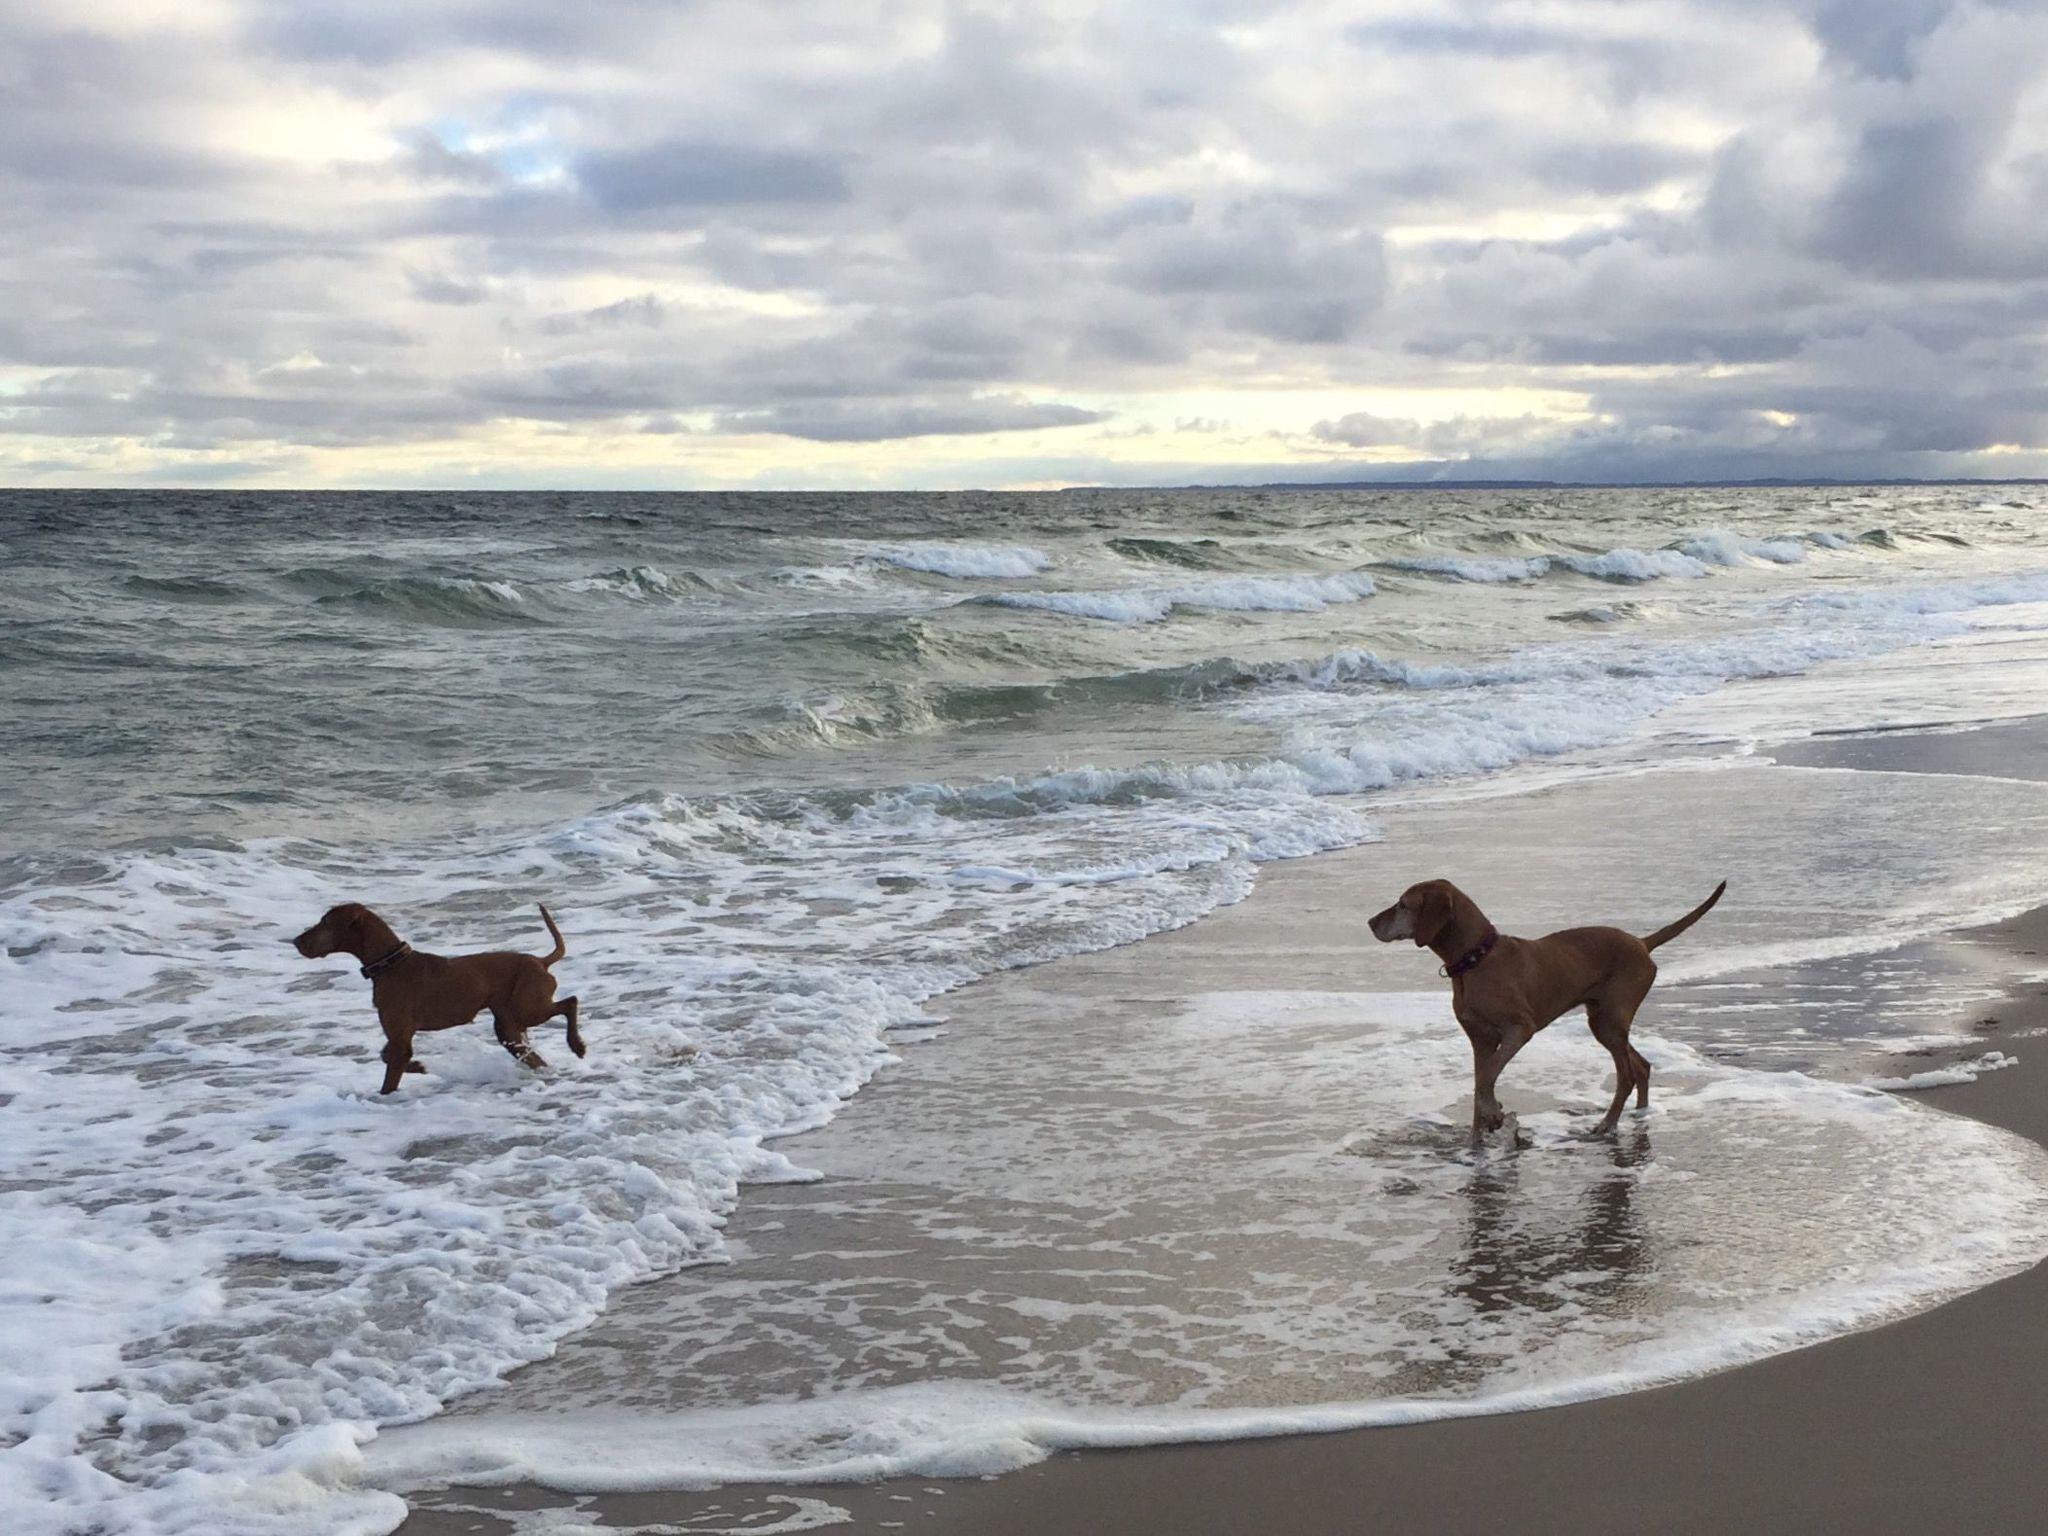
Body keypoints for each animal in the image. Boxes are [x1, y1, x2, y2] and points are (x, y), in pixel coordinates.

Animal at [292, 902, 584, 1094]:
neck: (391, 964)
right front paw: (418, 1066)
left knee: (571, 1001)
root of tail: (541, 961)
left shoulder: (399, 1039)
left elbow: (390, 1073)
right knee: (534, 1054)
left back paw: (577, 1044)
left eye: (325, 923)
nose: (295, 941)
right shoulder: (398, 1039)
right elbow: (387, 1056)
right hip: (509, 1027)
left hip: (527, 1007)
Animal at [1368, 879, 1725, 1141]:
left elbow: (1486, 1077)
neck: (1476, 959)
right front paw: (1476, 1140)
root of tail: (1641, 943)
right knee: (1641, 1066)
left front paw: (1495, 1113)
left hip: (1610, 1018)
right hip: (1604, 1019)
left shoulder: (1519, 1029)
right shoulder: (1479, 1040)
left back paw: (1607, 1124)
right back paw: (1640, 1114)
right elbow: (1480, 1079)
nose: (1370, 922)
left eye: (1403, 904)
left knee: (1626, 1074)